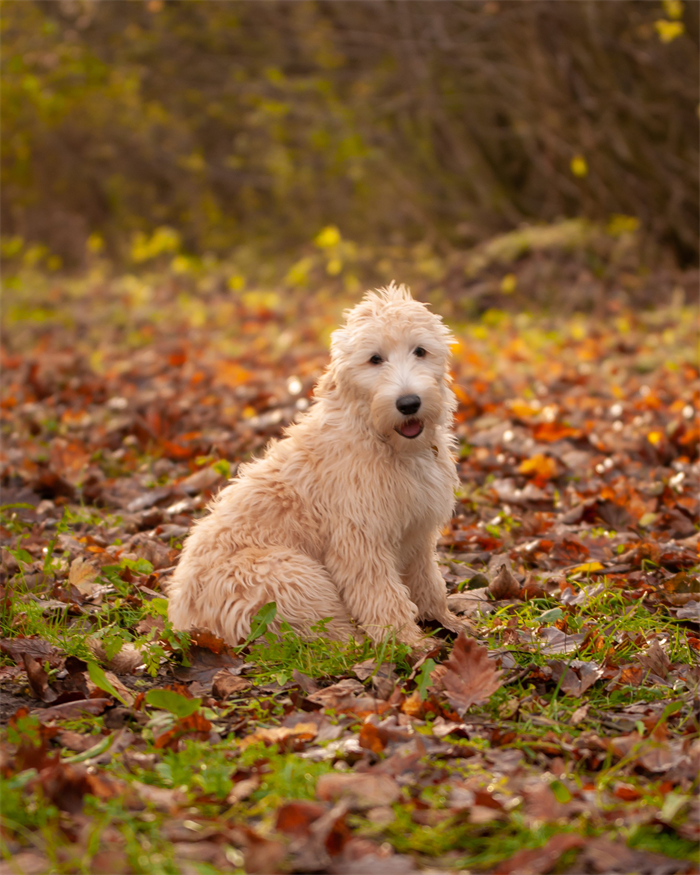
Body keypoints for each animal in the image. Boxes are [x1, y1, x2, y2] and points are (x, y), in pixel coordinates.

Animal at [167, 284, 464, 648]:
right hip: (290, 575)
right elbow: (381, 594)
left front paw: (446, 620)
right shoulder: (359, 540)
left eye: (420, 351)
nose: (408, 403)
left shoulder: (418, 533)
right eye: (375, 359)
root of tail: (185, 621)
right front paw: (407, 642)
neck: (378, 437)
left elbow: (427, 581)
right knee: (333, 635)